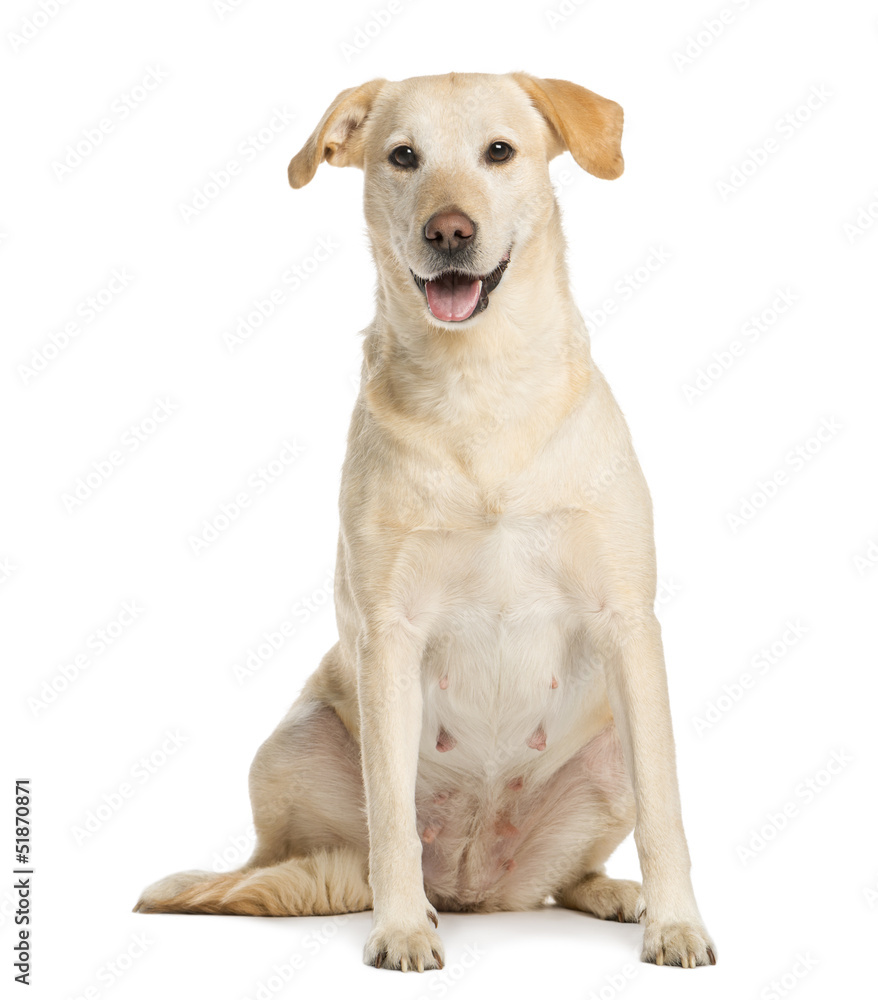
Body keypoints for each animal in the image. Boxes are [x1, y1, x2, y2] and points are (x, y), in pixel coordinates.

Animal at [136, 72, 716, 976]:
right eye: (403, 156)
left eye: (500, 152)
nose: (450, 231)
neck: (480, 384)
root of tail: (481, 886)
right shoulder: (389, 635)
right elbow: (392, 823)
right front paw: (402, 929)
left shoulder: (629, 624)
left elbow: (667, 815)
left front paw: (676, 923)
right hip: (295, 740)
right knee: (303, 861)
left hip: (616, 744)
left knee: (571, 871)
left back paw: (615, 893)